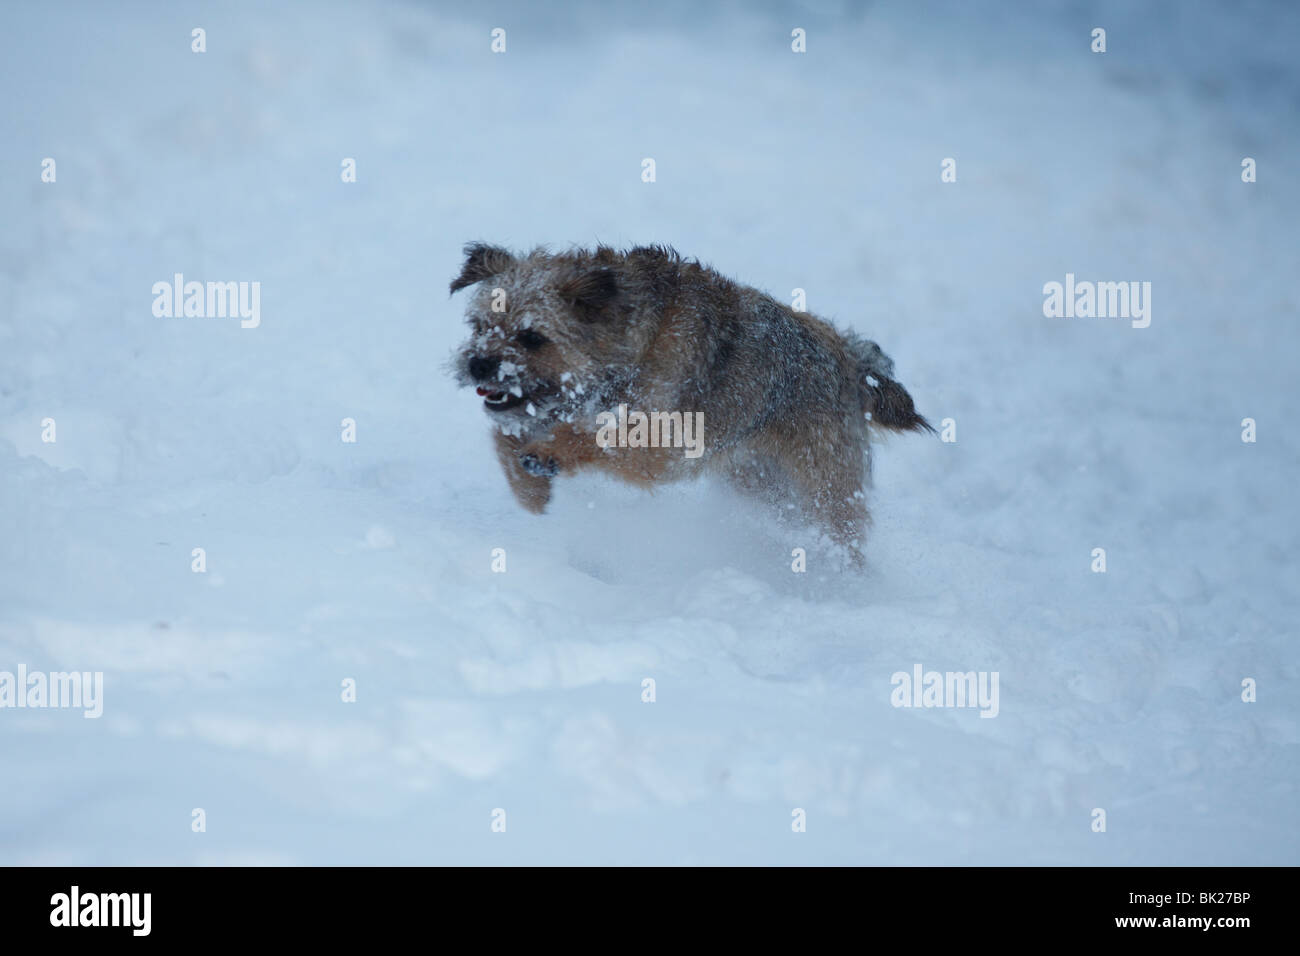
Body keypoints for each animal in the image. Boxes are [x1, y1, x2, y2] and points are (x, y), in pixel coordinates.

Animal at [452, 243, 930, 564]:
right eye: (479, 326)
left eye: (532, 337)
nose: (477, 364)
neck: (628, 348)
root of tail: (849, 360)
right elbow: (505, 433)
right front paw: (529, 490)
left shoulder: (659, 446)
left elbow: (593, 436)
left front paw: (548, 454)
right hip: (764, 487)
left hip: (822, 486)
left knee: (844, 536)